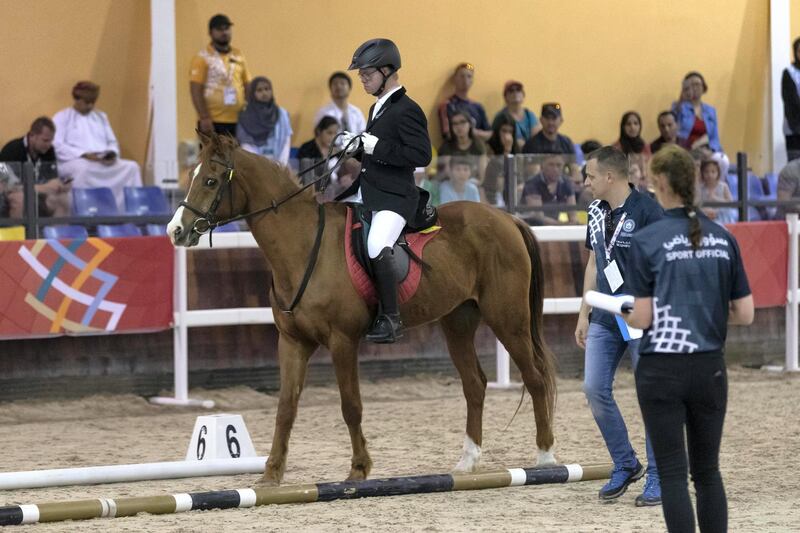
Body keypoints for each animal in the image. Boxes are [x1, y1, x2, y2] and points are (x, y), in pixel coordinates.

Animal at [169, 134, 556, 486]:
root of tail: (507, 218)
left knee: (535, 378)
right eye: (192, 176)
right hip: (458, 322)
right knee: (474, 385)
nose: (176, 231)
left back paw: (545, 456)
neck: (303, 245)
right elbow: (286, 408)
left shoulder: (343, 341)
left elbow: (350, 405)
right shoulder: (292, 342)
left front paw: (358, 469)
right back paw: (468, 461)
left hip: (508, 320)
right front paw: (271, 474)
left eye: (210, 180)